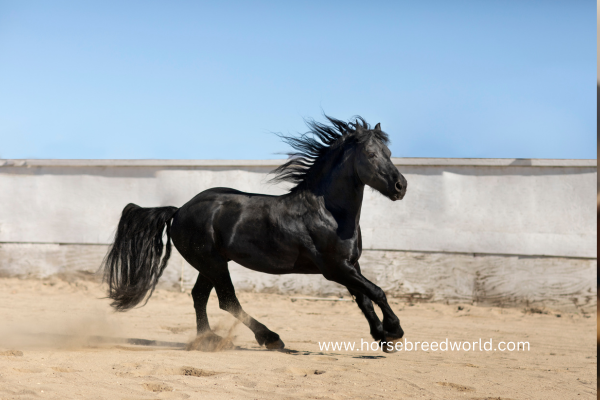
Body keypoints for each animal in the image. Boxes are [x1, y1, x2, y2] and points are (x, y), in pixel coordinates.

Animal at [103, 115, 408, 350]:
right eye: (371, 154)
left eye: (390, 154)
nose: (400, 186)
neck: (328, 213)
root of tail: (179, 211)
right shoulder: (335, 269)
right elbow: (377, 292)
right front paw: (394, 331)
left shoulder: (351, 265)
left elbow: (365, 300)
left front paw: (383, 338)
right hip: (213, 263)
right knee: (227, 301)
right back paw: (270, 338)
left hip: (210, 264)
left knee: (199, 296)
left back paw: (207, 339)